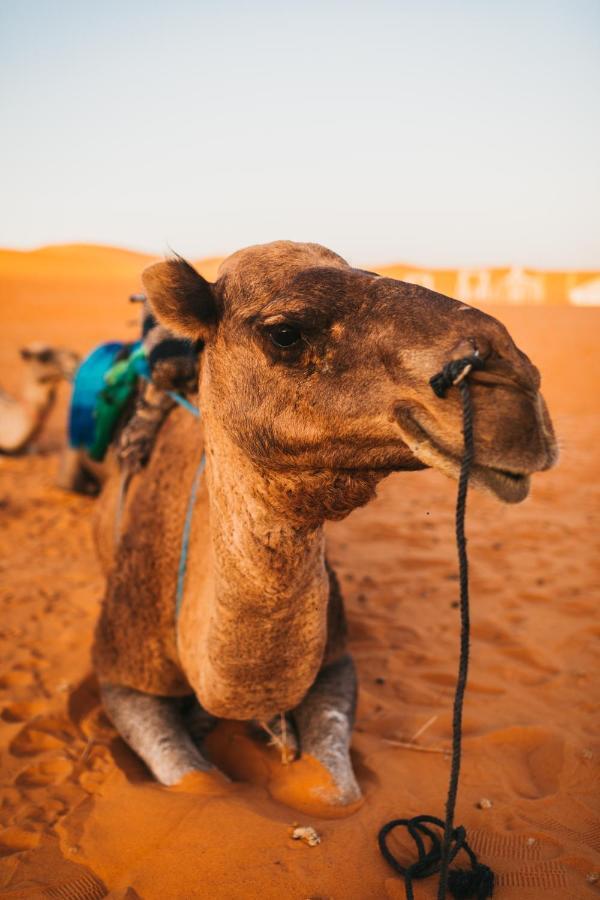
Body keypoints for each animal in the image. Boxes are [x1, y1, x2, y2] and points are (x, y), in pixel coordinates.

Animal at [94, 243, 556, 812]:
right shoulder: (120, 671)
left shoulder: (336, 660)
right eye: (284, 332)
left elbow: (333, 789)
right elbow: (196, 781)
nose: (516, 389)